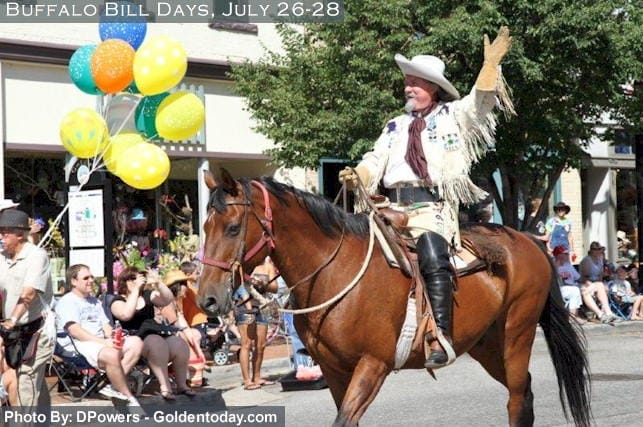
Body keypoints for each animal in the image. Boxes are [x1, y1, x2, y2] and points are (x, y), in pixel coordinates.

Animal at [197, 169, 592, 426]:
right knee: (523, 395)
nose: (207, 300)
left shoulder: (373, 365)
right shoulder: (334, 370)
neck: (333, 271)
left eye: (233, 227)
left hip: (516, 336)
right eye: (204, 226)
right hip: (487, 345)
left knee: (517, 401)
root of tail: (528, 240)